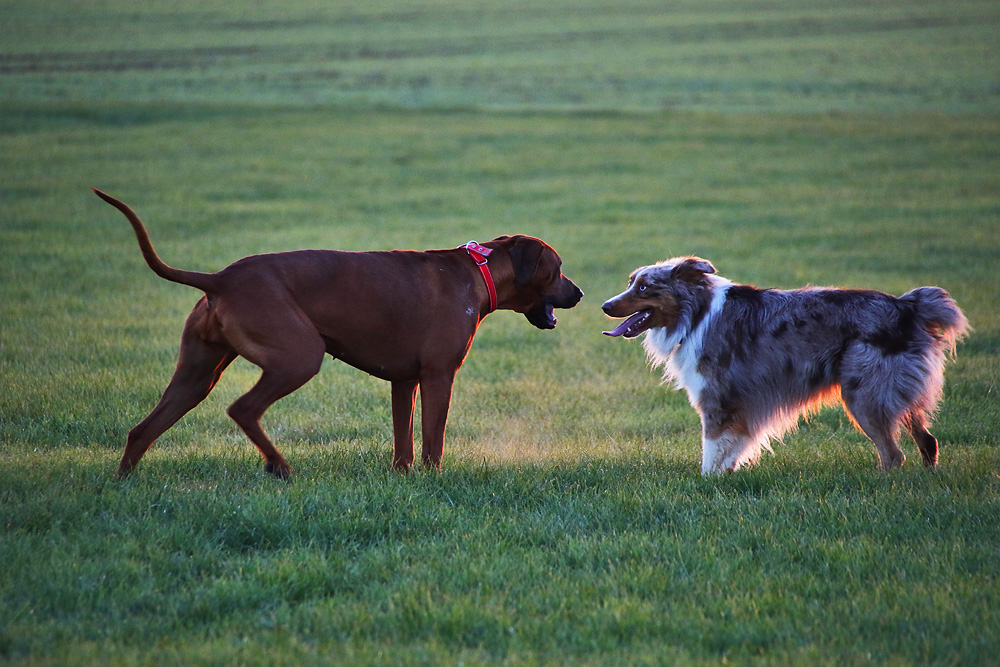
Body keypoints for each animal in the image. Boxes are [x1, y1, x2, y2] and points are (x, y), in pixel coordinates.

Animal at [94, 190, 584, 478]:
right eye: (558, 268)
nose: (580, 293)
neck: (477, 271)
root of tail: (221, 279)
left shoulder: (404, 380)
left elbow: (403, 440)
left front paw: (403, 476)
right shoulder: (438, 375)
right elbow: (433, 439)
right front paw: (433, 478)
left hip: (196, 375)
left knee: (141, 430)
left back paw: (123, 484)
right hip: (298, 357)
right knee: (242, 409)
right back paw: (279, 466)